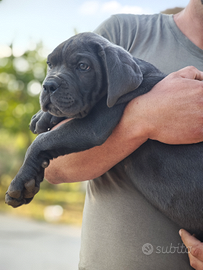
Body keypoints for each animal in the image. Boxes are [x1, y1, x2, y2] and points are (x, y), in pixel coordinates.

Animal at [4, 32, 203, 238]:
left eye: (83, 66)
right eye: (50, 64)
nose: (48, 85)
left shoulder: (93, 126)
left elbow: (40, 142)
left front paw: (19, 183)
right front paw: (42, 117)